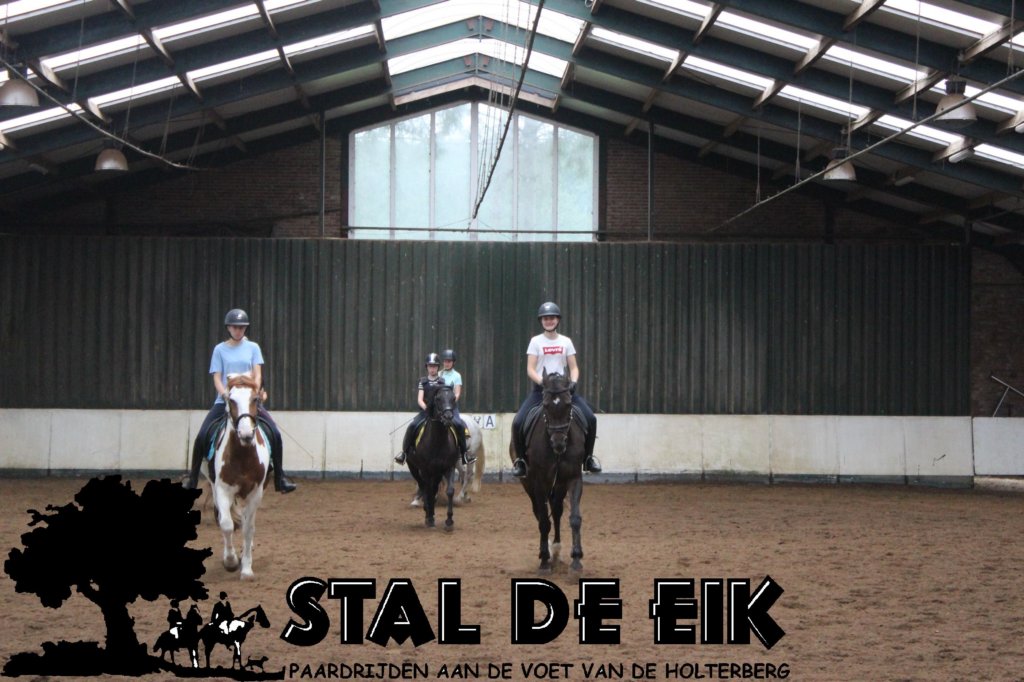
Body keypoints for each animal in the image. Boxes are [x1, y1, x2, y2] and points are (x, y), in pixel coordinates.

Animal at [210, 373, 271, 580]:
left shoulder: (255, 493)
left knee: (246, 521)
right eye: (231, 400)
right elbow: (227, 524)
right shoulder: (222, 490)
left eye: (255, 399)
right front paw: (230, 561)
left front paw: (246, 569)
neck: (243, 455)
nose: (245, 434)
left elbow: (248, 529)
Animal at [406, 383, 461, 529]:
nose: (448, 417)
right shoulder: (425, 470)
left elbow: (450, 491)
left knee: (432, 488)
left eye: (453, 398)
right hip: (414, 468)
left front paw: (449, 521)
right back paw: (427, 512)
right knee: (424, 486)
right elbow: (428, 490)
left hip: (437, 472)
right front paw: (429, 518)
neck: (437, 440)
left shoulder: (449, 467)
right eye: (438, 399)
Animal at [514, 370, 586, 573]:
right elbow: (544, 522)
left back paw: (556, 550)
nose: (558, 443)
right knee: (539, 513)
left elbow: (574, 518)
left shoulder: (573, 478)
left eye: (568, 403)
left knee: (557, 510)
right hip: (528, 484)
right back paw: (545, 552)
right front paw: (544, 560)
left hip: (559, 484)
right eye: (545, 405)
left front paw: (576, 559)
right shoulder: (538, 482)